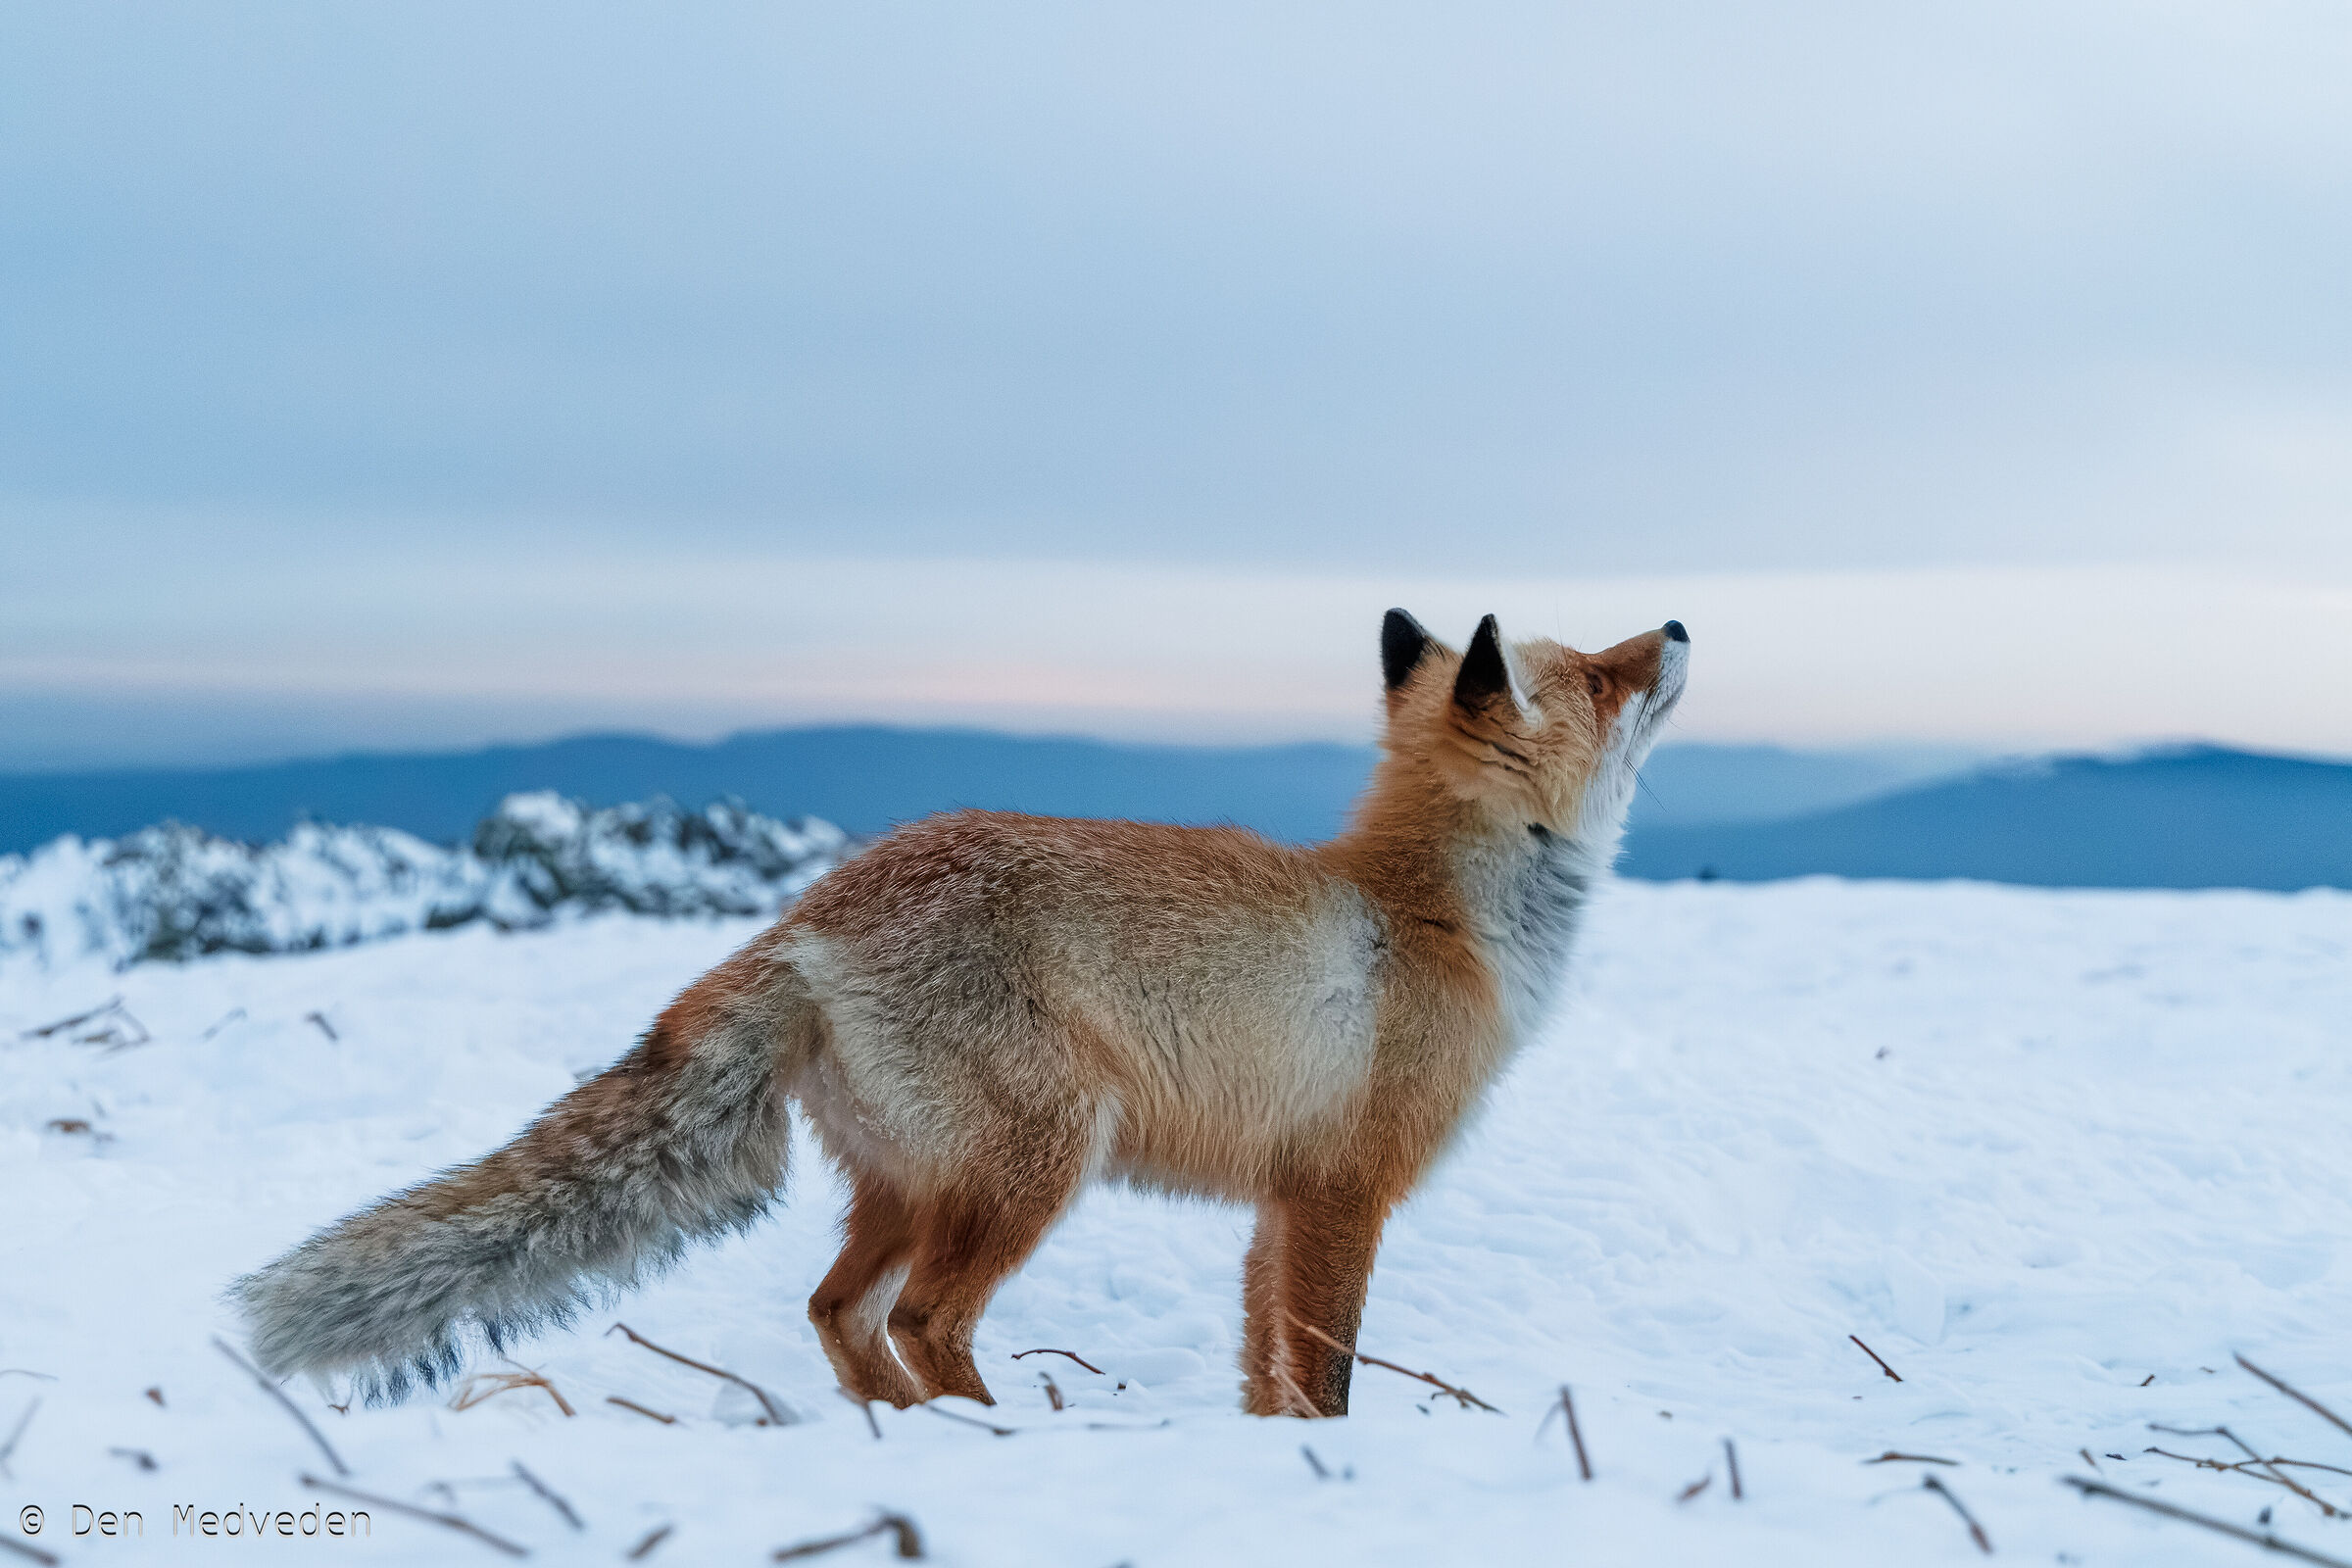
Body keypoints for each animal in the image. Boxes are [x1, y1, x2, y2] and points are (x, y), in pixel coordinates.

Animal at [234, 609, 1688, 1418]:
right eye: (1602, 675)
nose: (1678, 631)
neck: (1433, 913)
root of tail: (808, 916)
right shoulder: (1344, 1190)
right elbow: (1323, 1375)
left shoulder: (1283, 1200)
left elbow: (1265, 1374)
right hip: (1039, 1160)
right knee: (927, 1321)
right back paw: (1002, 1436)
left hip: (909, 1184)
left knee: (837, 1313)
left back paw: (910, 1436)